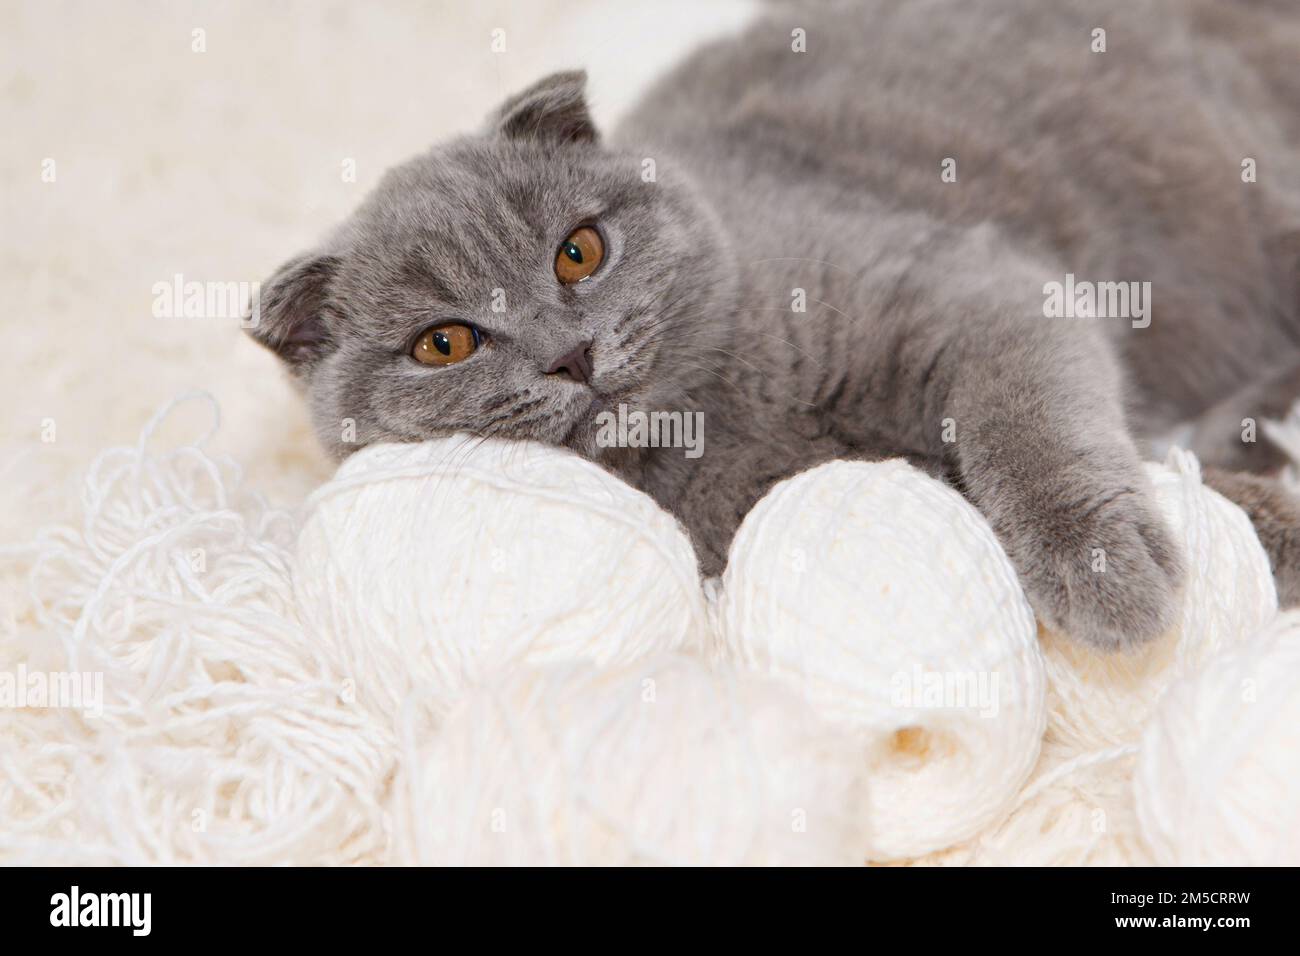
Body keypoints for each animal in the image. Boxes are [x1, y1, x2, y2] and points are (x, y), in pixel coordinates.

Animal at [248, 0, 1300, 650]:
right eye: (445, 344)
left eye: (577, 253)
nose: (570, 354)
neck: (734, 422)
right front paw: (1253, 527)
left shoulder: (969, 286)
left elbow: (1027, 423)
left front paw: (1108, 575)